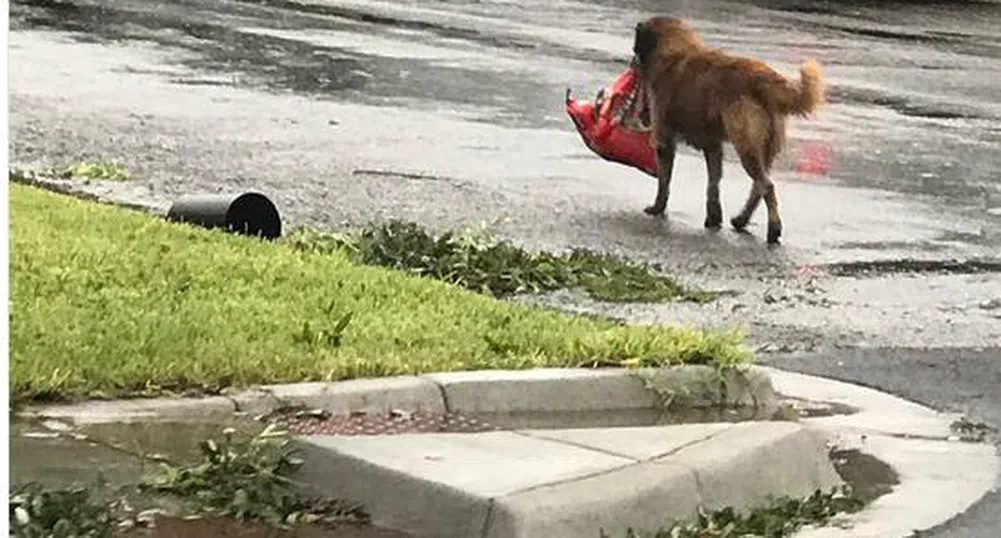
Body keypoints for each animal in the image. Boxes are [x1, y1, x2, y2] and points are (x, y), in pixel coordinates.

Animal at [628, 16, 824, 243]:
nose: (632, 63)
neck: (675, 48)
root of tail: (763, 77)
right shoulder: (712, 145)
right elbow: (714, 182)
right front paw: (713, 217)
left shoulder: (665, 140)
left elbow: (664, 181)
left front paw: (657, 208)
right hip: (764, 148)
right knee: (759, 186)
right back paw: (741, 219)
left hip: (746, 145)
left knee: (766, 185)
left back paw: (773, 229)